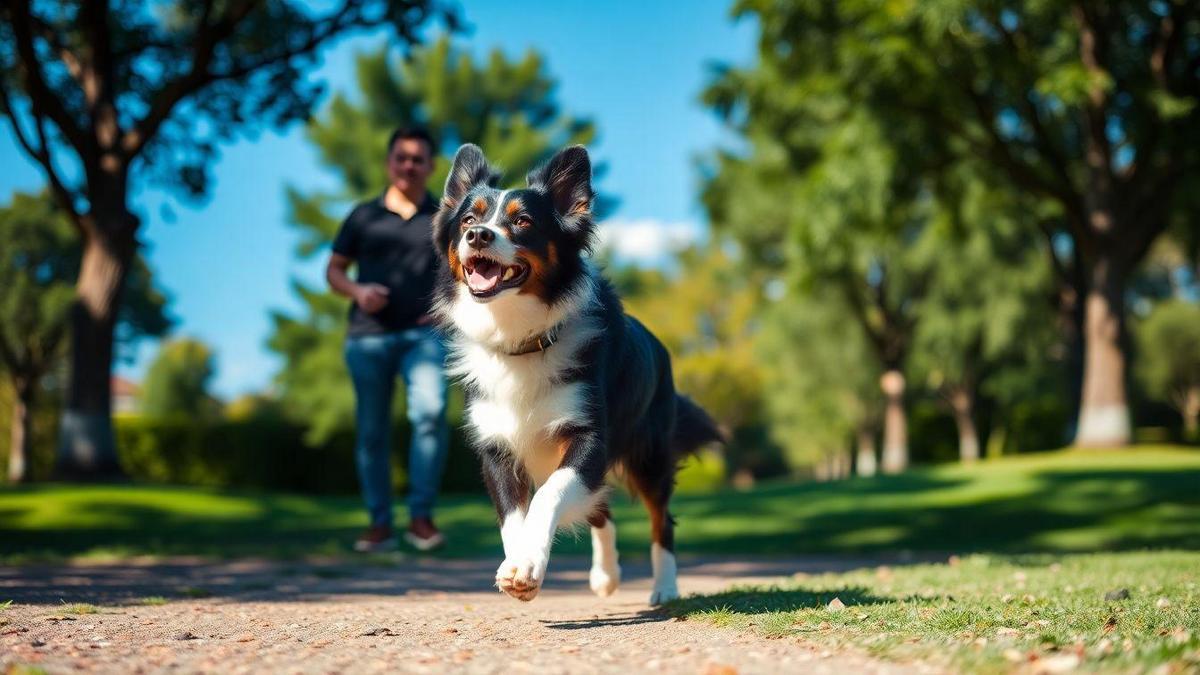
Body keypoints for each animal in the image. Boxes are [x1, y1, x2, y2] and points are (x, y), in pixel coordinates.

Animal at [432, 142, 720, 605]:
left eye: (523, 221)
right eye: (468, 220)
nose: (479, 236)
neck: (520, 339)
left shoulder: (589, 436)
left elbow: (549, 495)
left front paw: (528, 565)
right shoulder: (496, 445)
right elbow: (513, 515)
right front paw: (519, 564)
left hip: (649, 452)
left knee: (661, 518)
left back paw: (665, 587)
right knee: (601, 510)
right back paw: (605, 576)